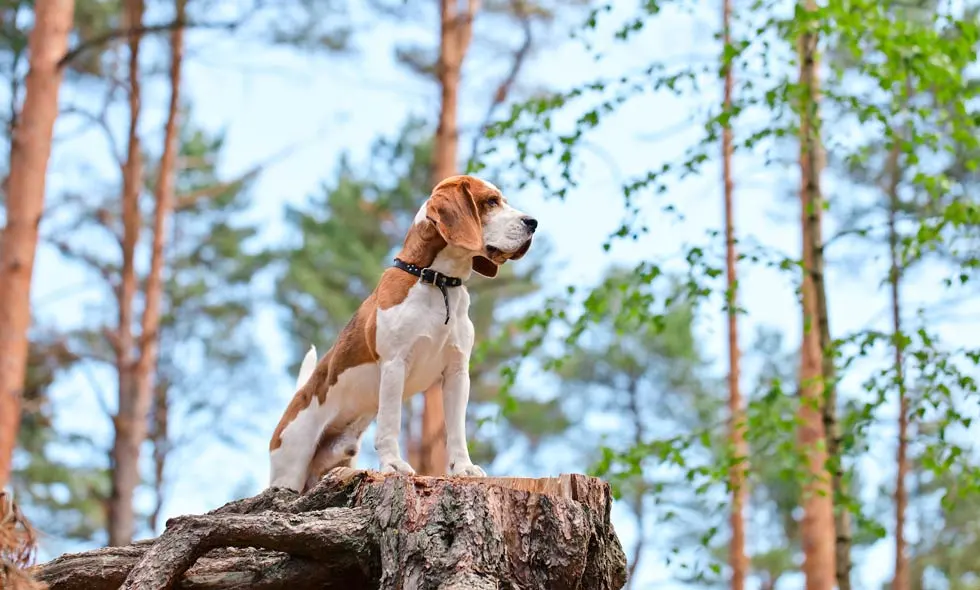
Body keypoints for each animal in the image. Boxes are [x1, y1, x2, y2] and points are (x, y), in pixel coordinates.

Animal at [268, 176, 536, 494]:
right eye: (491, 202)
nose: (533, 222)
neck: (436, 281)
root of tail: (298, 397)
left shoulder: (457, 373)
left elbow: (456, 430)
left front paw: (464, 467)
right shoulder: (395, 364)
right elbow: (390, 423)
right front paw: (393, 465)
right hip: (289, 466)